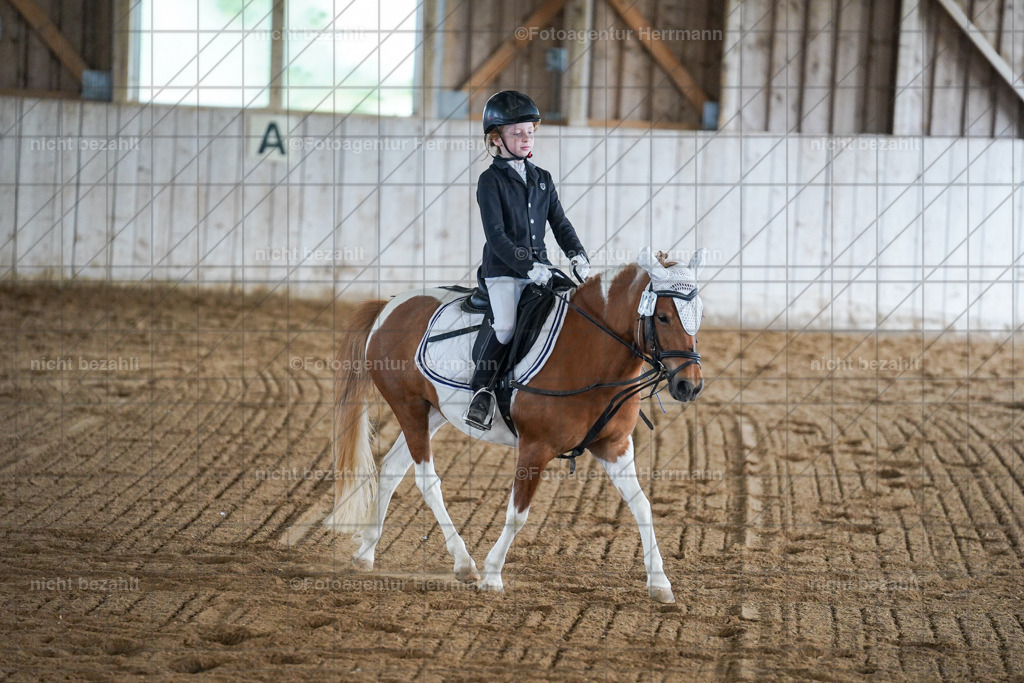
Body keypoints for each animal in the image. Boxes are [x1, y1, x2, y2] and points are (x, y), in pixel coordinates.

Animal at [324, 248, 707, 603]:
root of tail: (389, 306)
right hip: (409, 407)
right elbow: (518, 515)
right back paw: (464, 563)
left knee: (391, 469)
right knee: (426, 480)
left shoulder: (613, 446)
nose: (690, 386)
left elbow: (643, 506)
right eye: (663, 316)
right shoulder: (535, 448)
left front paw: (660, 583)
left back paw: (366, 553)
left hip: (432, 413)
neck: (589, 352)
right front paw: (493, 575)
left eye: (699, 314)